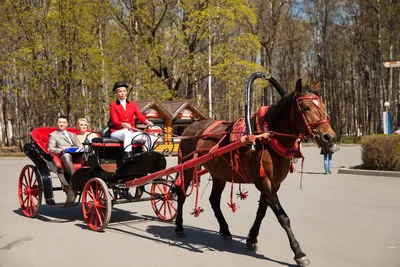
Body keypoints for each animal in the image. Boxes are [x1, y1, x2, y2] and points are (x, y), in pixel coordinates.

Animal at [177, 78, 336, 266]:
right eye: (306, 107)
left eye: (324, 106)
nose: (329, 137)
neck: (267, 138)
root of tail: (189, 128)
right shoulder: (263, 181)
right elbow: (282, 216)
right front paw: (298, 252)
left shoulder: (274, 183)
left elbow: (262, 211)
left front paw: (252, 238)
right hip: (186, 167)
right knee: (180, 194)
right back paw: (179, 227)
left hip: (219, 173)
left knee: (214, 199)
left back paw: (225, 231)